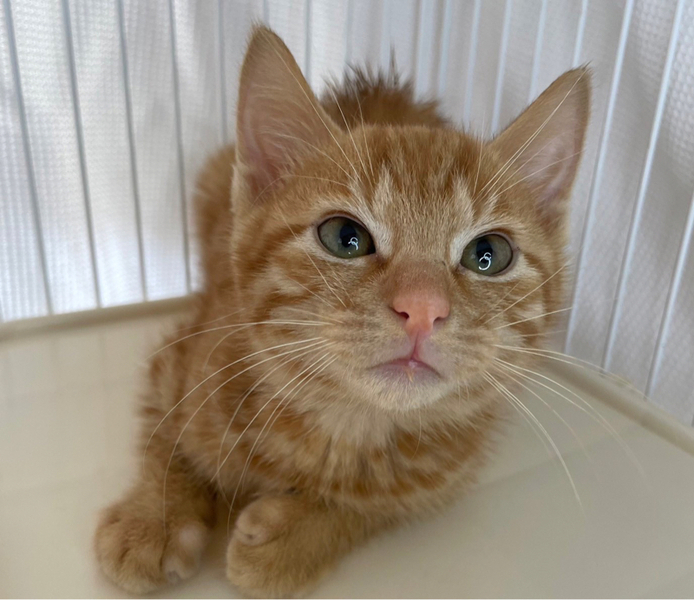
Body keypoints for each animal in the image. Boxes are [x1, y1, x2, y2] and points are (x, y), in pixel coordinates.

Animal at [94, 25, 590, 597]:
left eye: (488, 254)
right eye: (344, 237)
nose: (423, 308)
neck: (345, 426)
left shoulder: (444, 478)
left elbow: (375, 507)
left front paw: (298, 537)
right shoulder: (177, 358)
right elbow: (164, 435)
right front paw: (155, 517)